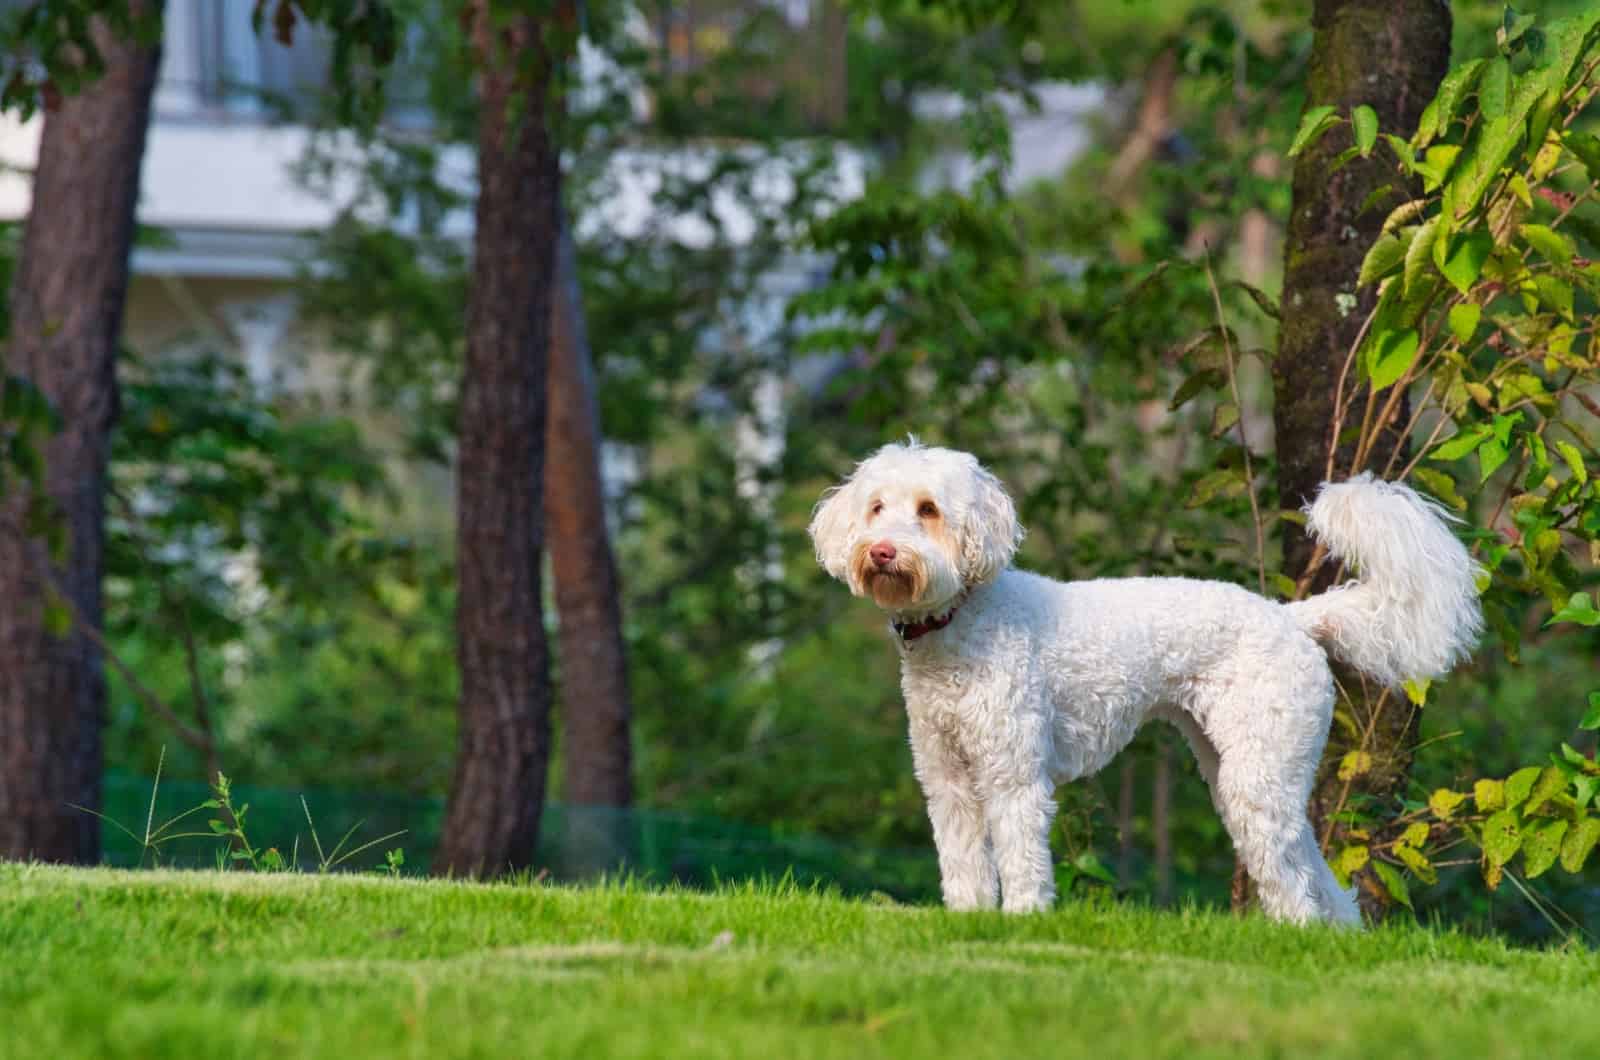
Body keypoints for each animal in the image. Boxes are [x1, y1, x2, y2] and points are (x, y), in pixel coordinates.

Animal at [812, 445, 1484, 928]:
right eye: (876, 507)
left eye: (928, 509)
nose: (882, 551)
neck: (962, 620)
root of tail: (1293, 618)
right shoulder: (947, 778)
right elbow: (963, 862)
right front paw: (969, 920)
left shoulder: (1012, 774)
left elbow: (1021, 855)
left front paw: (1023, 920)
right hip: (1248, 770)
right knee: (1313, 866)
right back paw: (1338, 933)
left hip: (1257, 773)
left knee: (1290, 878)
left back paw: (1298, 936)